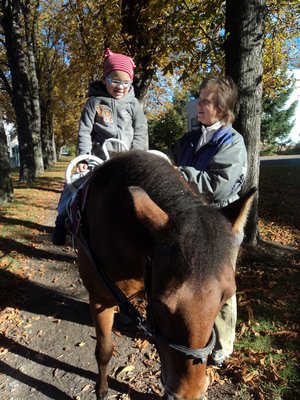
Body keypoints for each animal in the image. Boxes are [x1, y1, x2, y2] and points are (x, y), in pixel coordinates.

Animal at [75, 151, 255, 400]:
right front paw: (101, 389)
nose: (190, 393)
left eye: (225, 298)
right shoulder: (100, 299)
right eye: (162, 304)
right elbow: (104, 350)